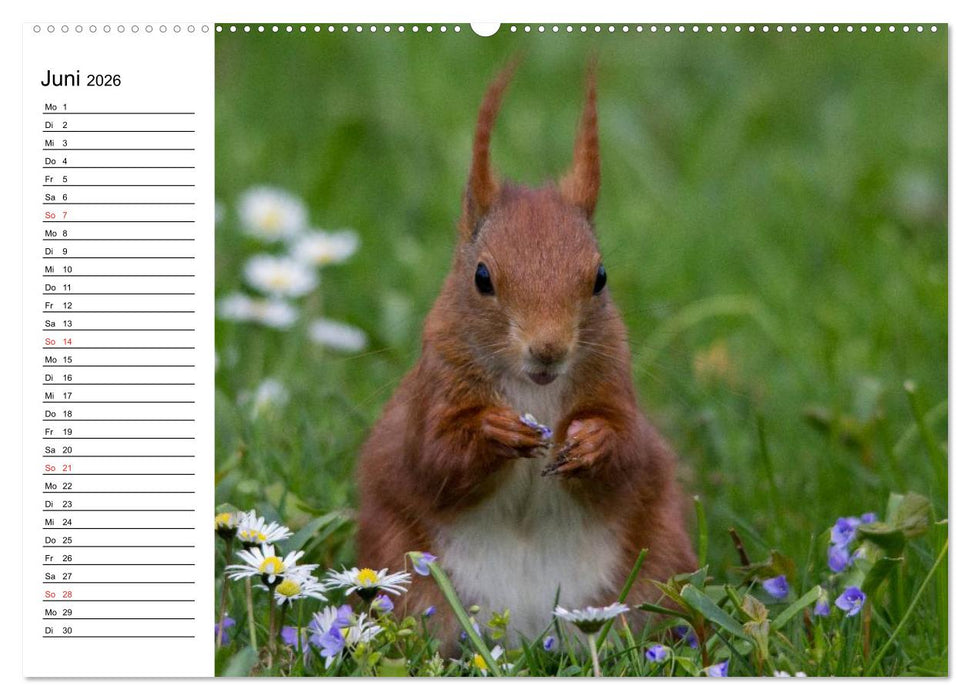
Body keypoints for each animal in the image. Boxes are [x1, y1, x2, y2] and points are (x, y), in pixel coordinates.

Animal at [355, 63, 697, 644]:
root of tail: (530, 631)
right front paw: (496, 432)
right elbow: (432, 457)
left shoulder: (614, 383)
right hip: (401, 572)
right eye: (481, 277)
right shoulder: (434, 389)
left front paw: (592, 443)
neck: (532, 391)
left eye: (600, 277)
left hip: (661, 562)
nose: (549, 350)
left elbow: (629, 451)